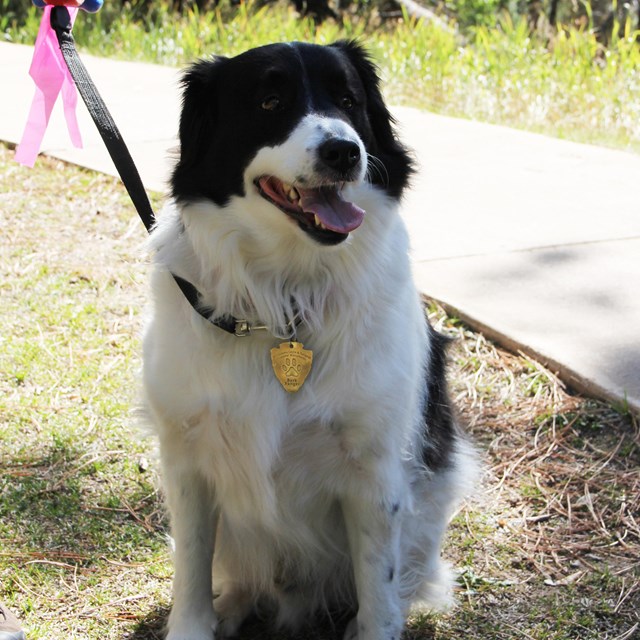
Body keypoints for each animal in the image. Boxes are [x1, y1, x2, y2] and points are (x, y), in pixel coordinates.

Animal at [145, 40, 476, 640]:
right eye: (270, 102)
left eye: (348, 100)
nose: (344, 151)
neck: (285, 299)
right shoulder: (186, 456)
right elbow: (192, 564)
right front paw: (196, 624)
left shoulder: (374, 470)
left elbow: (378, 587)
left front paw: (374, 628)